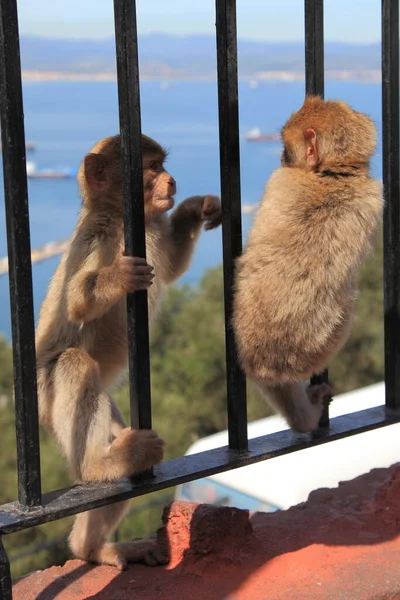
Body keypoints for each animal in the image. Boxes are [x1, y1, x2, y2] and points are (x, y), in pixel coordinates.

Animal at [34, 135, 222, 572]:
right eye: (151, 167)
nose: (171, 180)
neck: (121, 217)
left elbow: (170, 269)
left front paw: (196, 208)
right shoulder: (99, 240)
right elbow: (76, 302)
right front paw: (117, 278)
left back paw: (92, 549)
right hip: (44, 391)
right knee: (72, 364)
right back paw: (100, 465)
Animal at [233, 97, 382, 436]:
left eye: (286, 148)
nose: (280, 156)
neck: (331, 174)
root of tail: (263, 361)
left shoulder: (279, 179)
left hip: (328, 339)